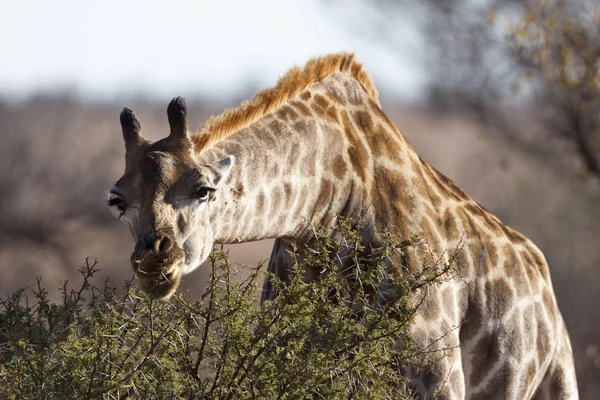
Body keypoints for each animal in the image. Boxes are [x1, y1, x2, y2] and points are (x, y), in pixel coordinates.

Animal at [106, 52, 576, 396]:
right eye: (118, 201)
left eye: (203, 189)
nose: (154, 261)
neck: (330, 204)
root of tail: (551, 306)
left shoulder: (435, 372)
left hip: (546, 381)